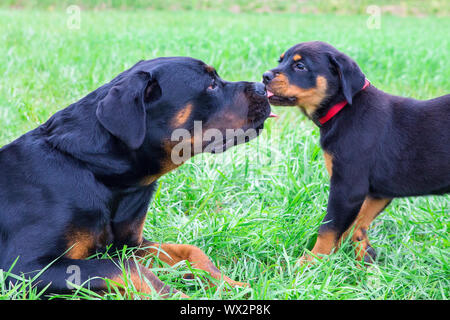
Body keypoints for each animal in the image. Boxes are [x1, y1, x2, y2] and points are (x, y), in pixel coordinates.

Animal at [0, 57, 270, 298]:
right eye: (211, 85)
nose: (263, 87)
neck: (95, 170)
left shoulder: (129, 245)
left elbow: (191, 251)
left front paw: (232, 285)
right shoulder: (24, 268)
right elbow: (128, 269)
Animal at [262, 41, 448, 264]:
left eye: (300, 66)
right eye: (281, 60)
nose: (265, 76)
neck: (343, 109)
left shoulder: (348, 188)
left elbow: (328, 228)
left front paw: (310, 262)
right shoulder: (377, 192)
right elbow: (355, 224)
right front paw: (359, 259)